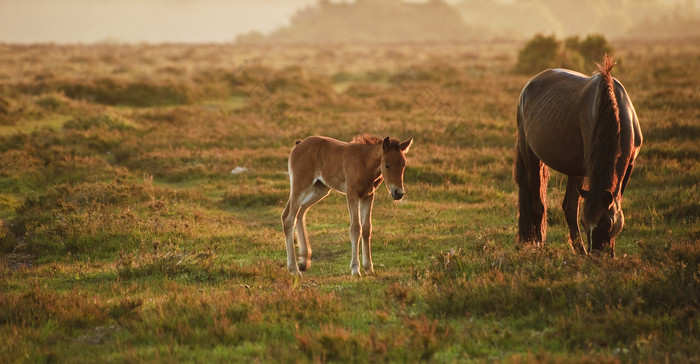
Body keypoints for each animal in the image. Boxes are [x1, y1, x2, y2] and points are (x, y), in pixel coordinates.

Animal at [280, 134, 410, 276]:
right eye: (387, 165)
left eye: (403, 165)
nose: (398, 193)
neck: (364, 163)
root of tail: (298, 144)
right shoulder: (352, 195)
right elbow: (355, 228)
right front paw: (355, 269)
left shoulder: (368, 196)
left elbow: (366, 229)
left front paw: (369, 268)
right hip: (300, 186)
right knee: (288, 218)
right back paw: (294, 269)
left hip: (320, 188)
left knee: (300, 211)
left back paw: (304, 260)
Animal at [516, 56, 640, 256]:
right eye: (585, 223)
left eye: (608, 223)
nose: (597, 255)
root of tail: (529, 86)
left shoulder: (629, 165)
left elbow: (617, 202)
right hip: (531, 158)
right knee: (539, 206)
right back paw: (541, 245)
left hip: (574, 168)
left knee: (569, 207)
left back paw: (579, 250)